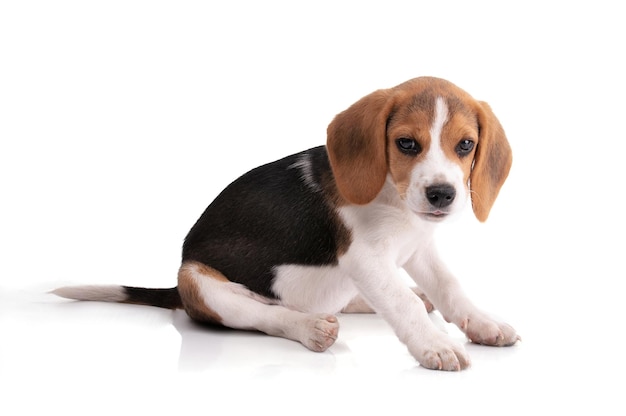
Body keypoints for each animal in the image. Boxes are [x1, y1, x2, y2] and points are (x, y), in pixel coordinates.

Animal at [54, 77, 516, 370]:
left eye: (465, 145)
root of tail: (177, 290)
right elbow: (400, 302)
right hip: (199, 282)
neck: (393, 197)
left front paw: (483, 323)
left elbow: (450, 289)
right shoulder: (366, 258)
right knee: (266, 316)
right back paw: (309, 328)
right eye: (406, 143)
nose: (442, 194)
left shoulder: (418, 249)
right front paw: (434, 345)